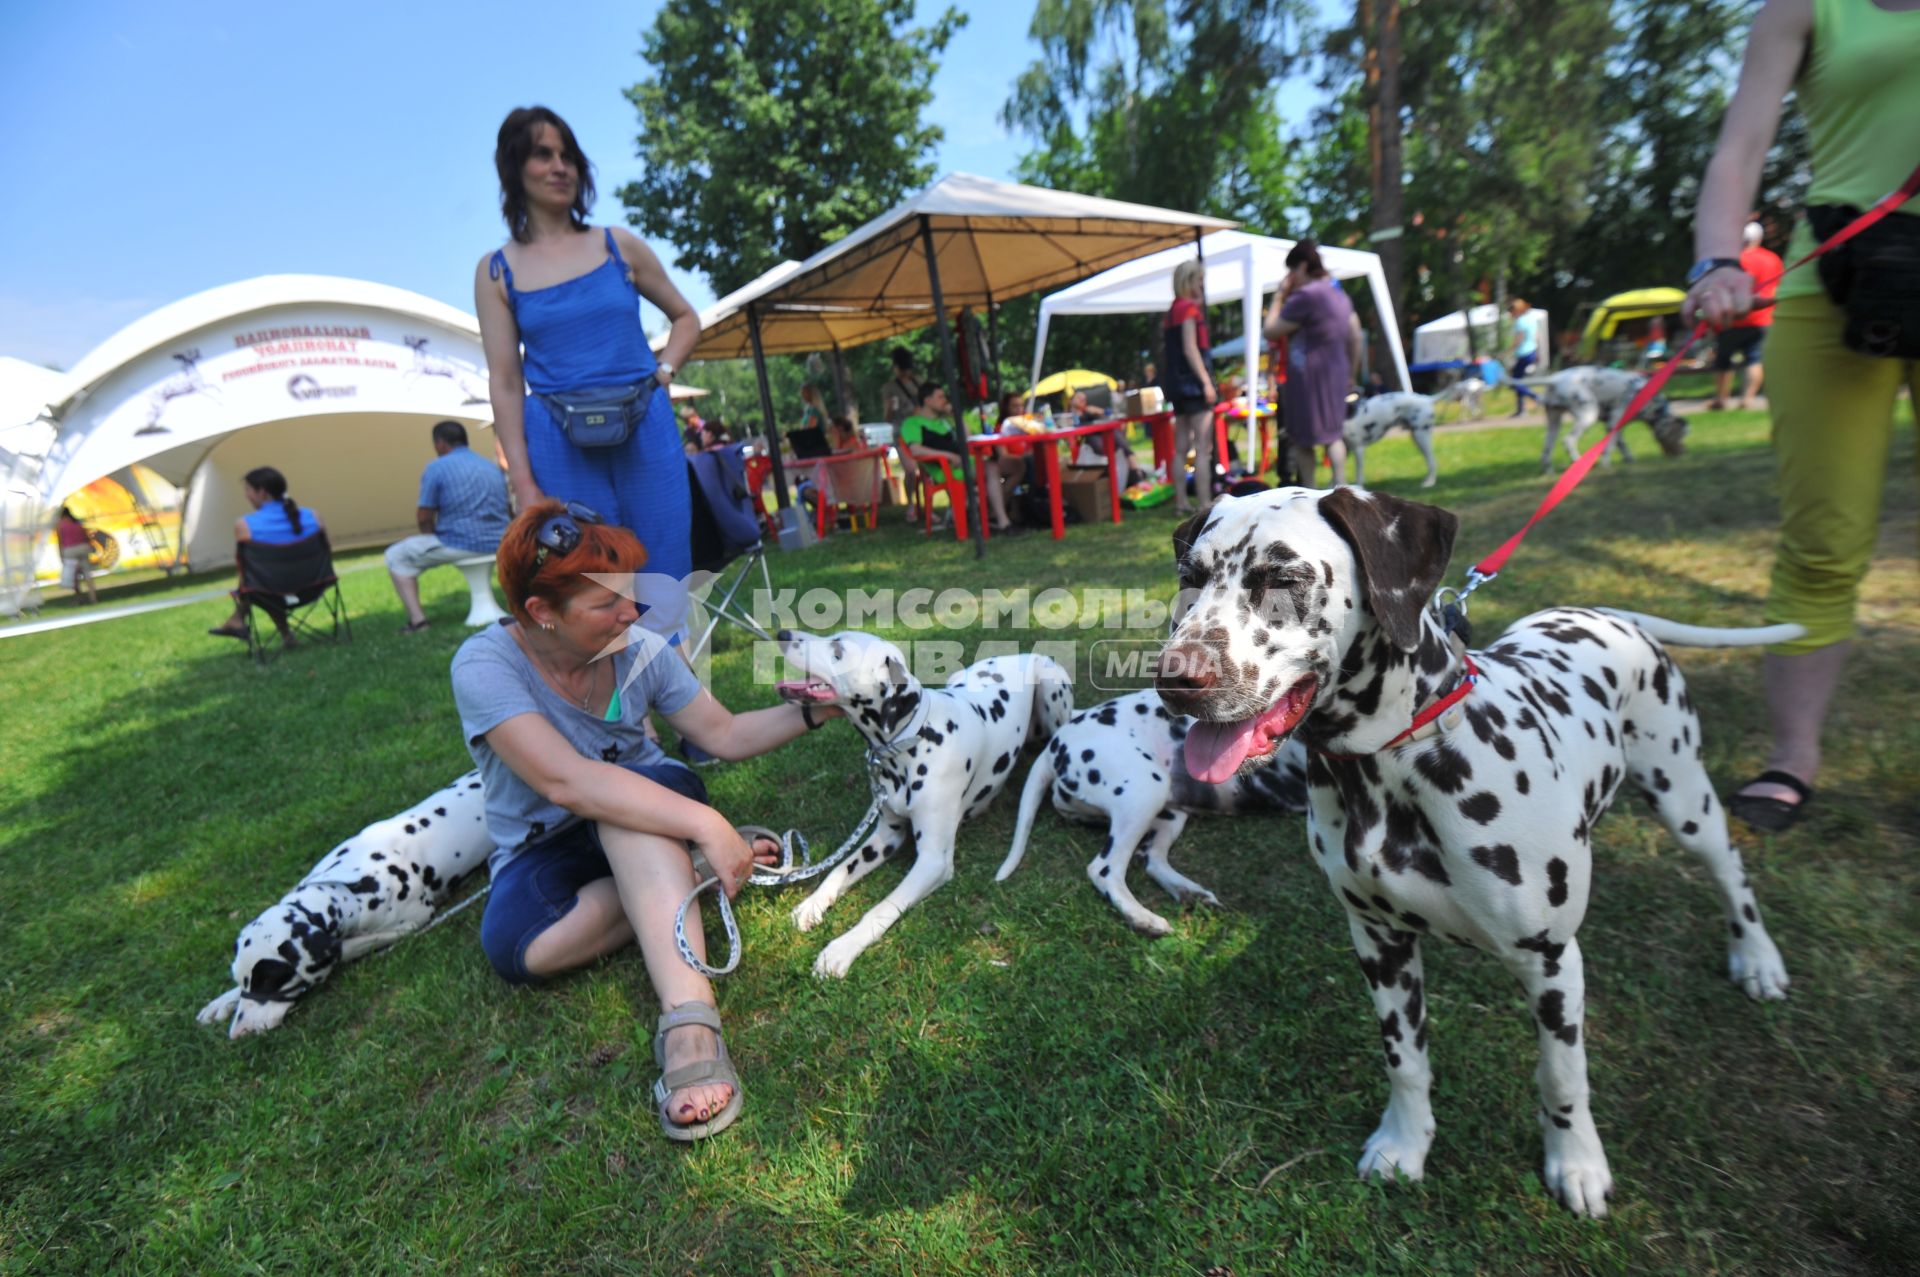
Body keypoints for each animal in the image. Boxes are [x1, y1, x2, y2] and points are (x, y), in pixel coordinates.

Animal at [195, 768, 491, 1036]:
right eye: (247, 980)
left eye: (269, 980)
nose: (238, 1032)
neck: (346, 884)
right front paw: (222, 1000)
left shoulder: (410, 923)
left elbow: (346, 949)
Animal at [779, 626, 1082, 975]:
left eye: (838, 650)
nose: (782, 633)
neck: (914, 739)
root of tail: (1019, 654)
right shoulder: (885, 836)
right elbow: (840, 869)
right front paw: (812, 904)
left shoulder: (933, 862)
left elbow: (882, 907)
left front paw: (841, 949)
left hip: (1050, 686)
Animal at [998, 691, 1313, 933]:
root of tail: (1055, 743)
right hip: (1145, 791)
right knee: (1104, 869)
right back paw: (1142, 917)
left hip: (1170, 814)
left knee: (1150, 859)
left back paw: (1188, 892)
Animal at [1152, 487, 1797, 1213]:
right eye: (1190, 574)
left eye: (1282, 577)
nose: (1174, 679)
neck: (1394, 763)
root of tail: (1606, 613)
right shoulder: (1380, 943)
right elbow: (1405, 1060)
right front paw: (1405, 1144)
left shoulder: (1551, 961)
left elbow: (1561, 1077)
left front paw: (1576, 1164)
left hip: (1685, 797)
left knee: (1732, 872)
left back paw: (1757, 958)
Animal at [1528, 362, 1681, 472]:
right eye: (1680, 436)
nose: (1682, 452)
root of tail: (1554, 379)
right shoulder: (1614, 422)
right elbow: (1609, 448)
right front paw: (1605, 465)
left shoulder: (1615, 426)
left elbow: (1622, 445)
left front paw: (1629, 460)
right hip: (1588, 415)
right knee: (1568, 441)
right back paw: (1577, 462)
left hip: (1554, 424)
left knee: (1546, 452)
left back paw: (1549, 472)